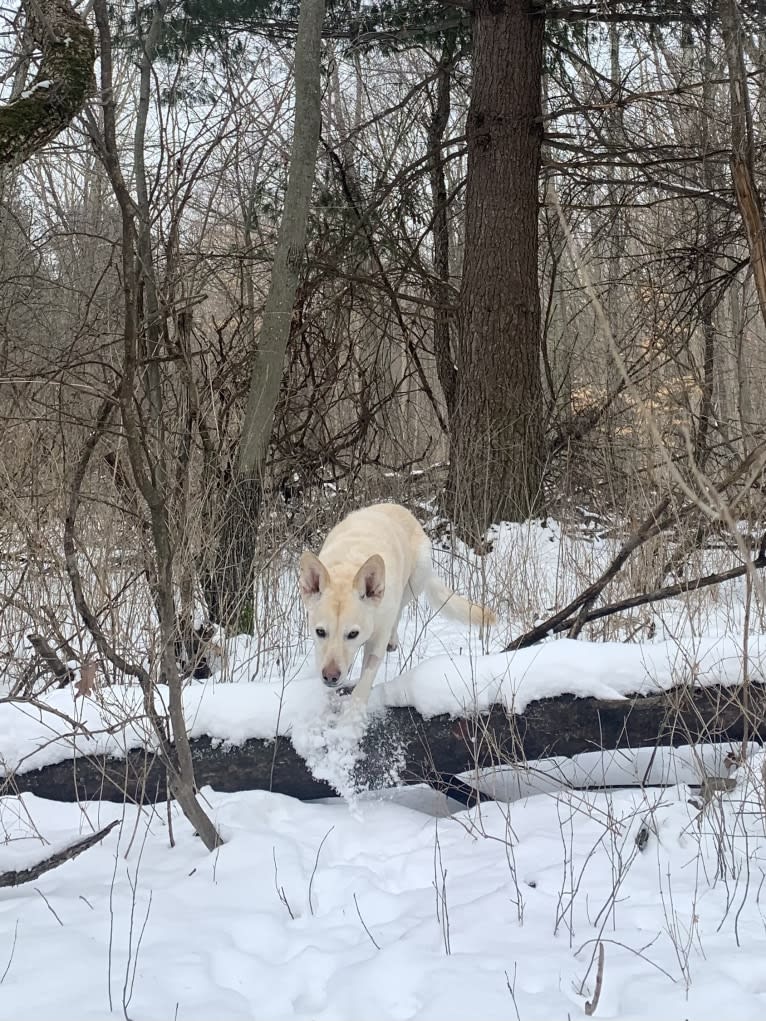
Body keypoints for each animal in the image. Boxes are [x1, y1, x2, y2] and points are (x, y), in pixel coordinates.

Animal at [300, 500, 498, 706]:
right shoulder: (321, 648)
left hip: (414, 581)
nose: (330, 676)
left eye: (353, 634)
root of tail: (400, 508)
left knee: (400, 611)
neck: (349, 569)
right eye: (320, 632)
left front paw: (354, 713)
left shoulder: (377, 640)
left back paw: (393, 640)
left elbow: (364, 683)